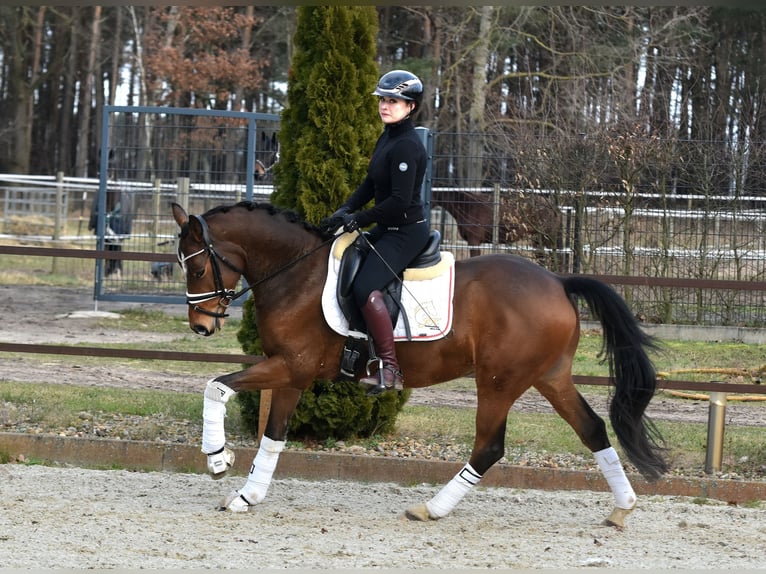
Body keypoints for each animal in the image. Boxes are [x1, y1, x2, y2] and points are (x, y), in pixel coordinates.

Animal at [172, 200, 664, 528]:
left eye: (195, 269)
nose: (200, 326)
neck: (297, 274)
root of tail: (559, 282)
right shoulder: (291, 373)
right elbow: (273, 437)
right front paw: (247, 495)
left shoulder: (292, 366)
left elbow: (217, 386)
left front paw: (218, 458)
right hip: (550, 376)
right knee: (593, 429)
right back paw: (622, 508)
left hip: (498, 381)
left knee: (489, 447)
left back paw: (432, 508)